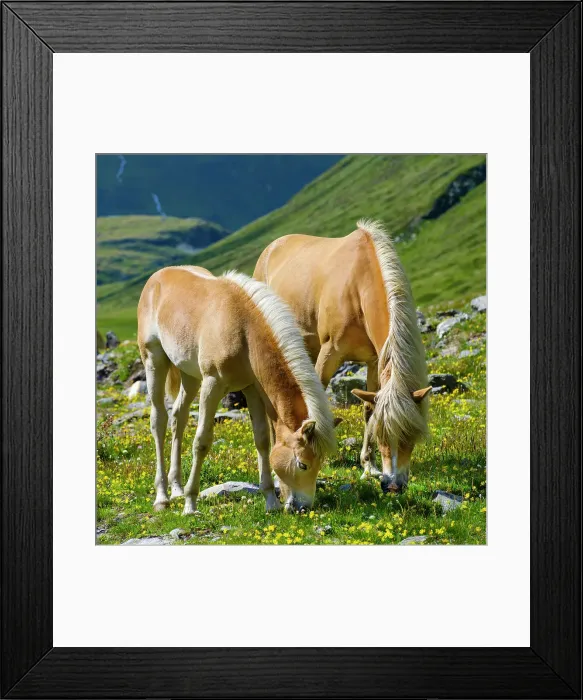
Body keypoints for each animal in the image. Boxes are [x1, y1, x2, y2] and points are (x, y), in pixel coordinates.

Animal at [137, 265, 337, 515]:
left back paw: (176, 489)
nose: (303, 507)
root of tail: (157, 278)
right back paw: (163, 497)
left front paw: (270, 501)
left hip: (189, 375)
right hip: (154, 361)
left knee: (178, 417)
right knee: (159, 421)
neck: (243, 328)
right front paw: (190, 504)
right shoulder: (212, 384)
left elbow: (262, 440)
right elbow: (202, 441)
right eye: (303, 464)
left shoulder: (252, 389)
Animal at [254, 220, 431, 493]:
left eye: (410, 435)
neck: (357, 288)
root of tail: (271, 247)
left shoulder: (373, 361)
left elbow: (368, 408)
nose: (393, 485)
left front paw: (368, 466)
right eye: (383, 434)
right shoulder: (329, 353)